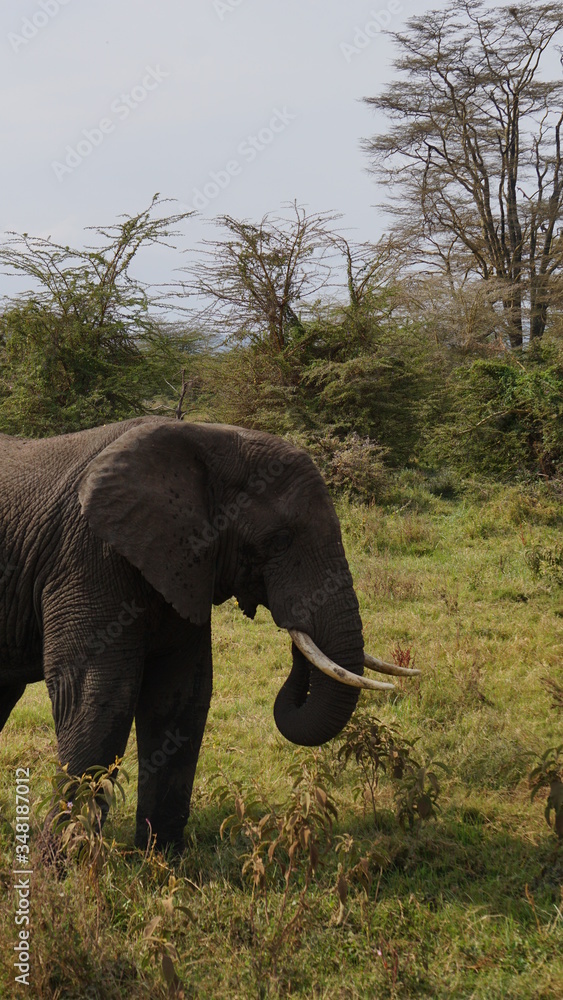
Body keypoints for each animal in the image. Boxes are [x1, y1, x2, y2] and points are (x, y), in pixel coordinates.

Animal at [0, 417, 418, 850]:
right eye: (280, 541)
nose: (296, 632)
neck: (208, 438)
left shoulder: (183, 566)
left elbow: (181, 694)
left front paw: (159, 856)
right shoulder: (87, 556)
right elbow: (98, 695)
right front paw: (64, 859)